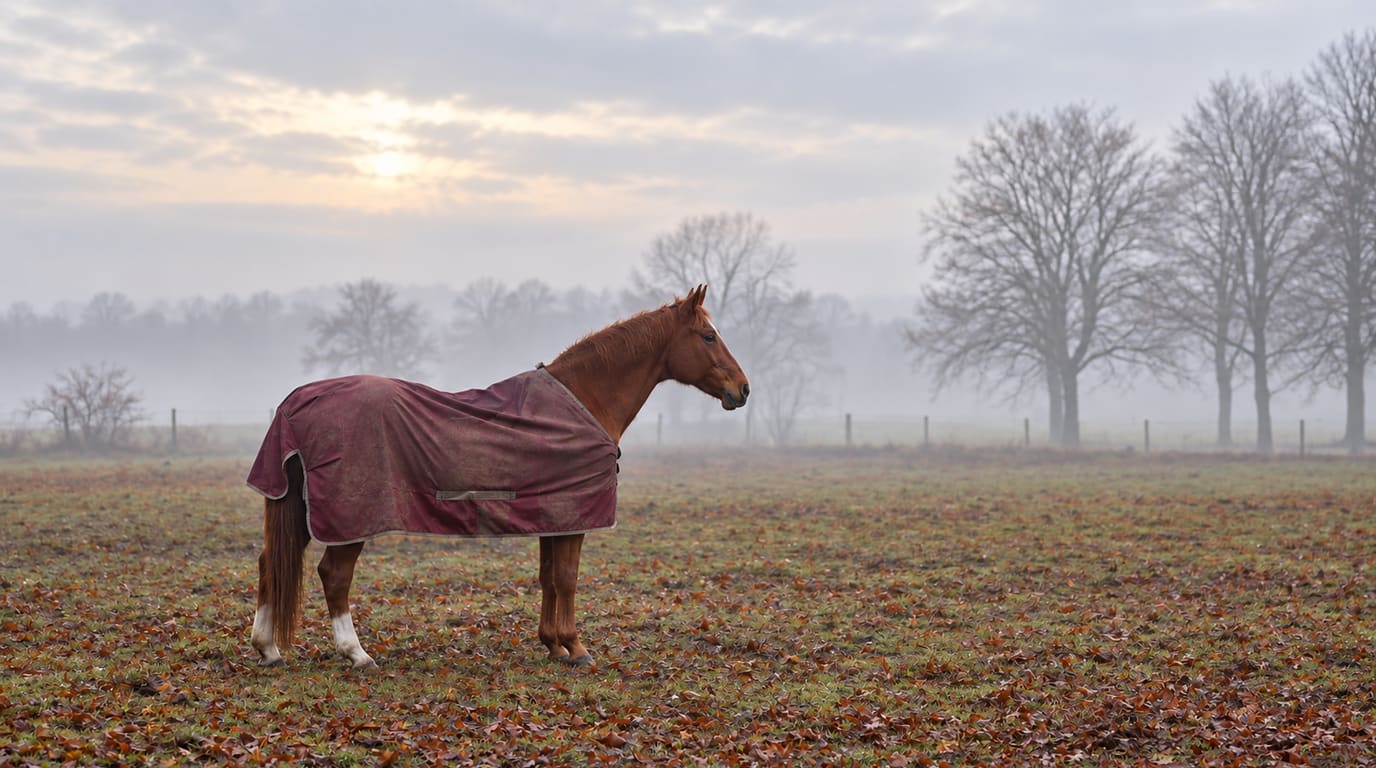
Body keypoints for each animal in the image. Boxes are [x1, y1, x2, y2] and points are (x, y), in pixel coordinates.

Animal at [248, 285, 749, 669]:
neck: (584, 400)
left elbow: (548, 578)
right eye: (708, 336)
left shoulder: (552, 516)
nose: (742, 390)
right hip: (351, 518)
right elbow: (567, 578)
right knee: (334, 576)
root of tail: (298, 402)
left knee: (270, 563)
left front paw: (553, 645)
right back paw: (357, 654)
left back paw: (269, 649)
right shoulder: (574, 515)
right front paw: (577, 648)